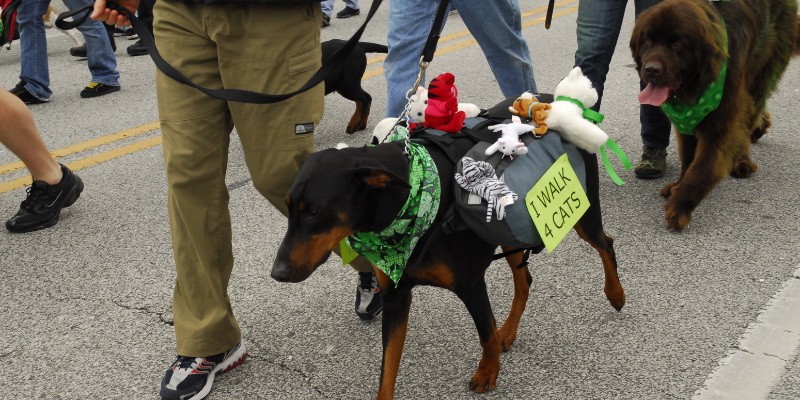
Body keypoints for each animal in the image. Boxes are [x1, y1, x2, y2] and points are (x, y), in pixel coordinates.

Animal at [272, 96, 628, 396]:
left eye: (314, 211)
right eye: (288, 206)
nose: (277, 273)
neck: (410, 200)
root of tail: (557, 102)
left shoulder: (470, 284)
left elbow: (485, 335)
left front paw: (487, 372)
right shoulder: (396, 295)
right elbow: (388, 369)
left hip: (584, 214)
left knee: (605, 244)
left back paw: (615, 293)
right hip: (508, 232)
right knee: (524, 279)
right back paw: (509, 330)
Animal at [636, 0, 796, 231]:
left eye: (678, 43)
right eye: (648, 40)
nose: (651, 70)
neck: (698, 85)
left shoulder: (723, 121)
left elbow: (703, 169)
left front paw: (680, 207)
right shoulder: (687, 118)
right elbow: (689, 158)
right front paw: (678, 185)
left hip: (760, 74)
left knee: (749, 117)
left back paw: (742, 161)